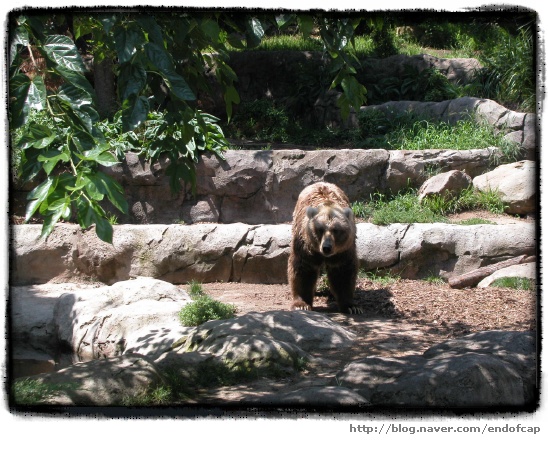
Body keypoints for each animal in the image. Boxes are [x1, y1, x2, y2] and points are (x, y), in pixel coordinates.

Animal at [286, 181, 364, 314]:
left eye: (336, 230)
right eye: (320, 229)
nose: (327, 247)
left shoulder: (343, 251)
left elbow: (343, 273)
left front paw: (351, 306)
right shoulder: (305, 247)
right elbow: (303, 270)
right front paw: (301, 304)